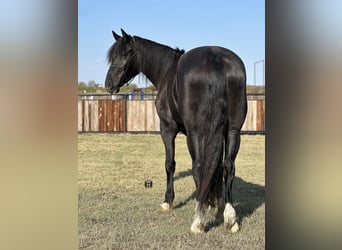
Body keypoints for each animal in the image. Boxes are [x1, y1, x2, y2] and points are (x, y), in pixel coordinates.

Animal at [105, 29, 247, 234]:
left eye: (126, 53)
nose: (109, 84)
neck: (167, 71)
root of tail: (216, 59)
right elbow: (217, 168)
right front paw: (216, 203)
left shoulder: (167, 129)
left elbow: (169, 163)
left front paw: (168, 201)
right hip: (234, 131)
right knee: (228, 166)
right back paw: (230, 218)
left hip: (195, 133)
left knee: (198, 166)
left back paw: (198, 220)